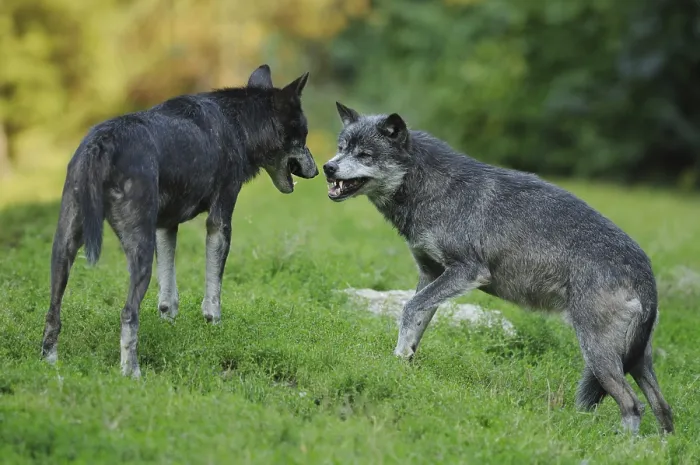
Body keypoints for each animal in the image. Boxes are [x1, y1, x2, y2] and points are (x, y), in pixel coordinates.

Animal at [41, 65, 318, 378]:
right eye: (303, 136)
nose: (320, 171)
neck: (239, 125)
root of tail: (103, 142)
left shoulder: (165, 228)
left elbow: (168, 296)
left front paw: (170, 326)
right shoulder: (219, 223)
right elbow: (213, 291)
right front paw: (214, 326)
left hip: (63, 252)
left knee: (53, 313)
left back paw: (49, 362)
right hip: (140, 254)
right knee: (128, 313)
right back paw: (131, 373)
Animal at [323, 102, 674, 435]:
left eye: (365, 154)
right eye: (342, 147)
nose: (328, 167)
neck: (432, 187)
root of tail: (646, 271)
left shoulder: (467, 272)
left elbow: (409, 308)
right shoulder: (431, 275)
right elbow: (416, 319)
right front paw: (401, 363)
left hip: (598, 355)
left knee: (633, 406)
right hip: (636, 361)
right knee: (663, 409)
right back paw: (659, 447)